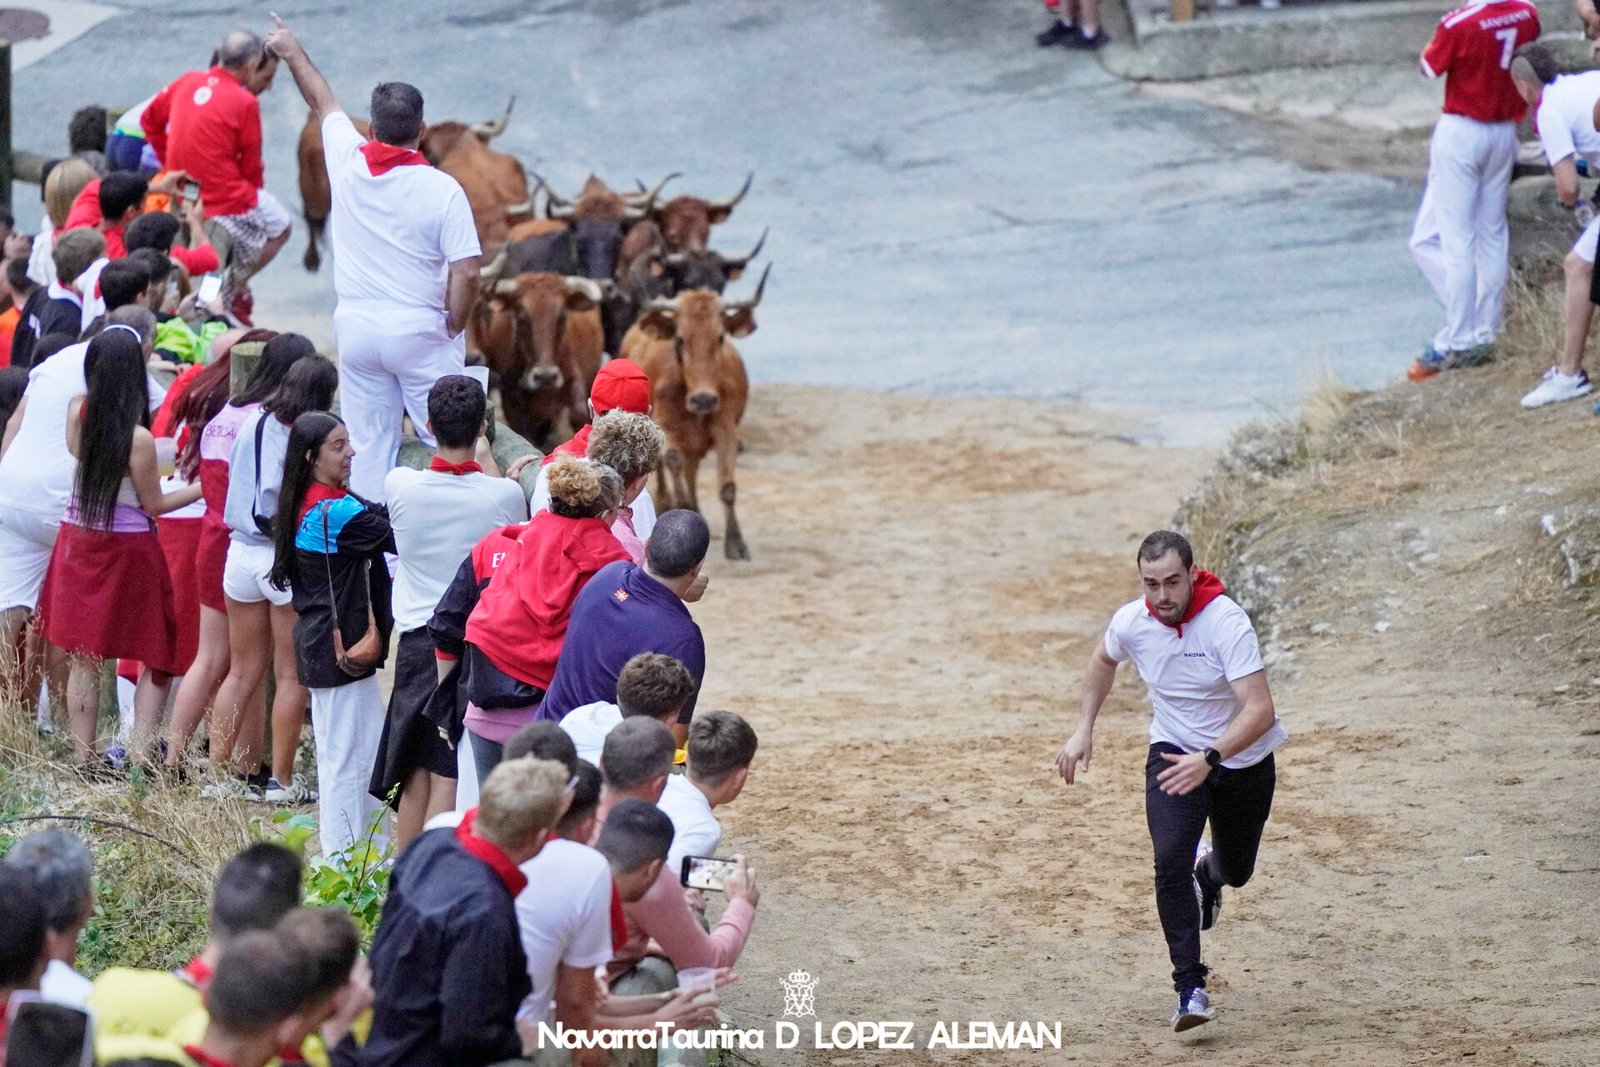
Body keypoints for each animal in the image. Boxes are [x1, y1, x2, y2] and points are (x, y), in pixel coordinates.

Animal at [617, 265, 768, 559]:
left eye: (720, 336)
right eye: (680, 339)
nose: (704, 400)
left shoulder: (727, 430)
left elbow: (727, 486)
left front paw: (735, 542)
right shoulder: (666, 427)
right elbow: (672, 462)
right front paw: (680, 508)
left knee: (692, 471)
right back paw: (668, 501)